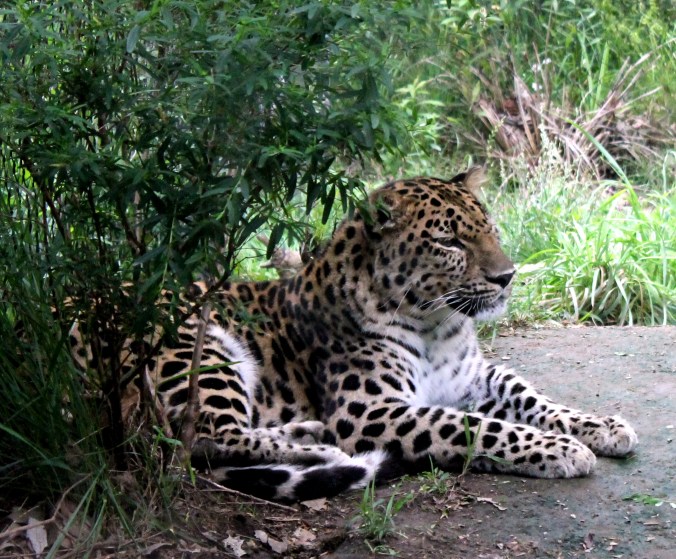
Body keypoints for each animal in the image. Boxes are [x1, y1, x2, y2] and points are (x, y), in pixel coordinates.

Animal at [69, 167, 638, 502]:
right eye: (450, 241)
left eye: (490, 228)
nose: (507, 276)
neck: (438, 323)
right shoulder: (368, 408)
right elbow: (473, 427)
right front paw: (561, 450)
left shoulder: (477, 378)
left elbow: (533, 400)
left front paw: (602, 427)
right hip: (196, 347)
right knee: (208, 441)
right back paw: (322, 449)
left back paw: (307, 435)